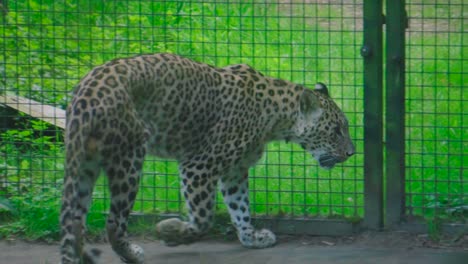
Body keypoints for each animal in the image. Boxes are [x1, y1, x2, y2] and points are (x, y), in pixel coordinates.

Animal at [61, 52, 354, 262]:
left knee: (73, 220)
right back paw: (131, 253)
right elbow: (203, 218)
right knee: (113, 221)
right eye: (337, 130)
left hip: (84, 164)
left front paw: (252, 238)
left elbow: (240, 208)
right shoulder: (198, 166)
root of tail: (86, 91)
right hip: (129, 159)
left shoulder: (234, 171)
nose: (352, 153)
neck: (276, 118)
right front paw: (170, 232)